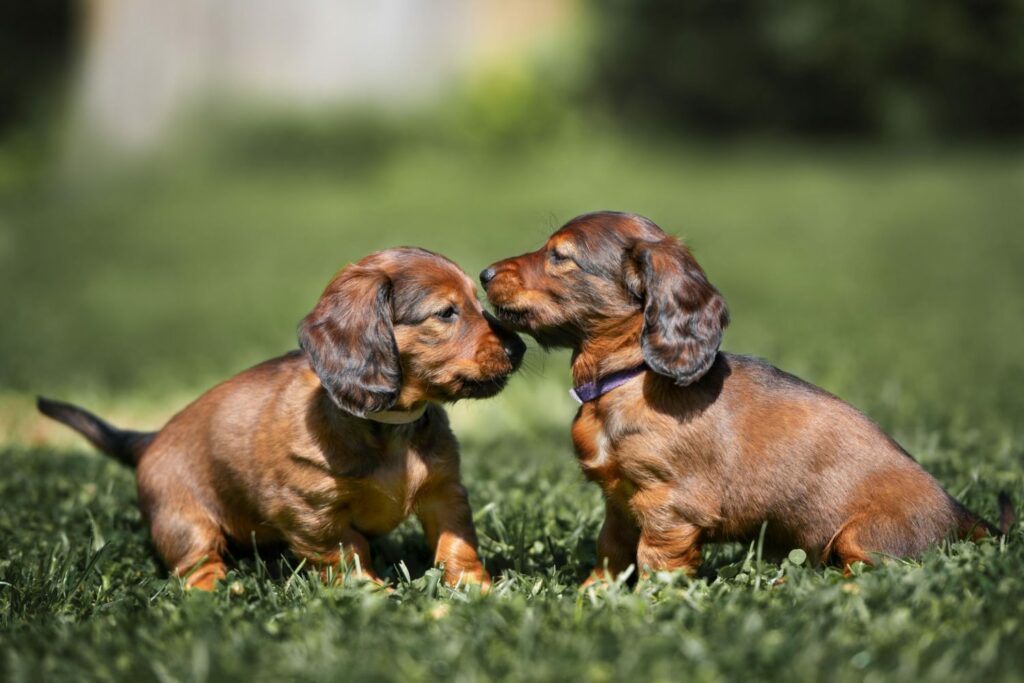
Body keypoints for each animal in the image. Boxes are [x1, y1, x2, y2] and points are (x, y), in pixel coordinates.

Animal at [39, 248, 524, 589]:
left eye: (478, 301)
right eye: (446, 312)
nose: (519, 348)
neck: (391, 427)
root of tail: (150, 439)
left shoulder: (444, 491)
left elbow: (456, 542)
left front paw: (477, 589)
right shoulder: (313, 514)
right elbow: (349, 552)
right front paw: (372, 594)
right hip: (183, 520)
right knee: (194, 565)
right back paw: (217, 590)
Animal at [479, 210, 1007, 581]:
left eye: (559, 256)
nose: (483, 274)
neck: (630, 376)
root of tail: (962, 514)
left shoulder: (670, 504)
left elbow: (654, 560)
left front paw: (647, 606)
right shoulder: (620, 500)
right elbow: (611, 551)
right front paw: (593, 595)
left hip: (864, 533)